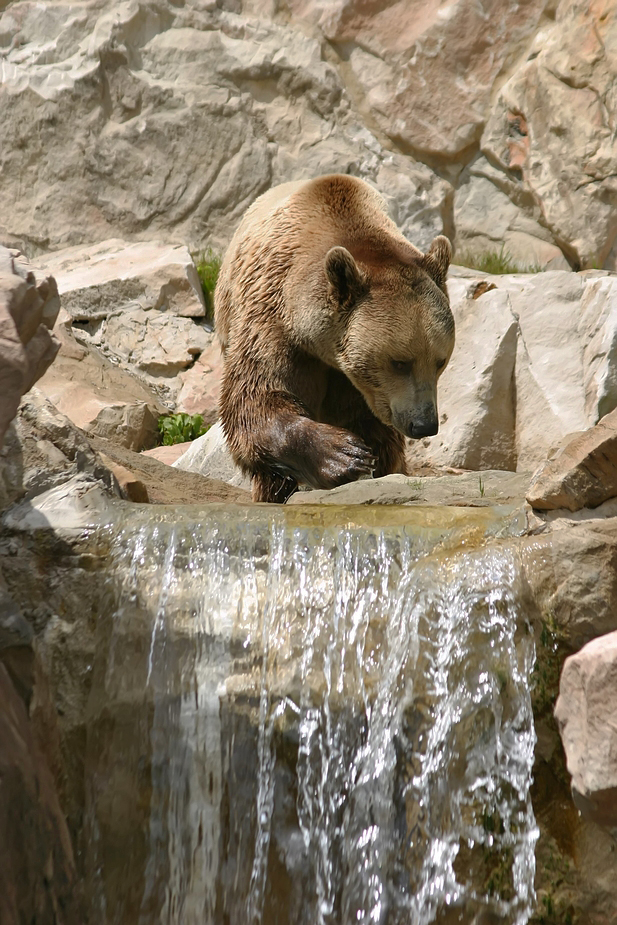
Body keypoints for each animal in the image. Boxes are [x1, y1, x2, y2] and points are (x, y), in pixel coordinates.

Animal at [215, 173, 452, 506]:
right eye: (400, 362)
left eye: (440, 361)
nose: (424, 423)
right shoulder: (273, 325)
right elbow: (257, 398)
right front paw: (344, 455)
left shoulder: (360, 387)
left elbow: (380, 437)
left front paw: (370, 462)